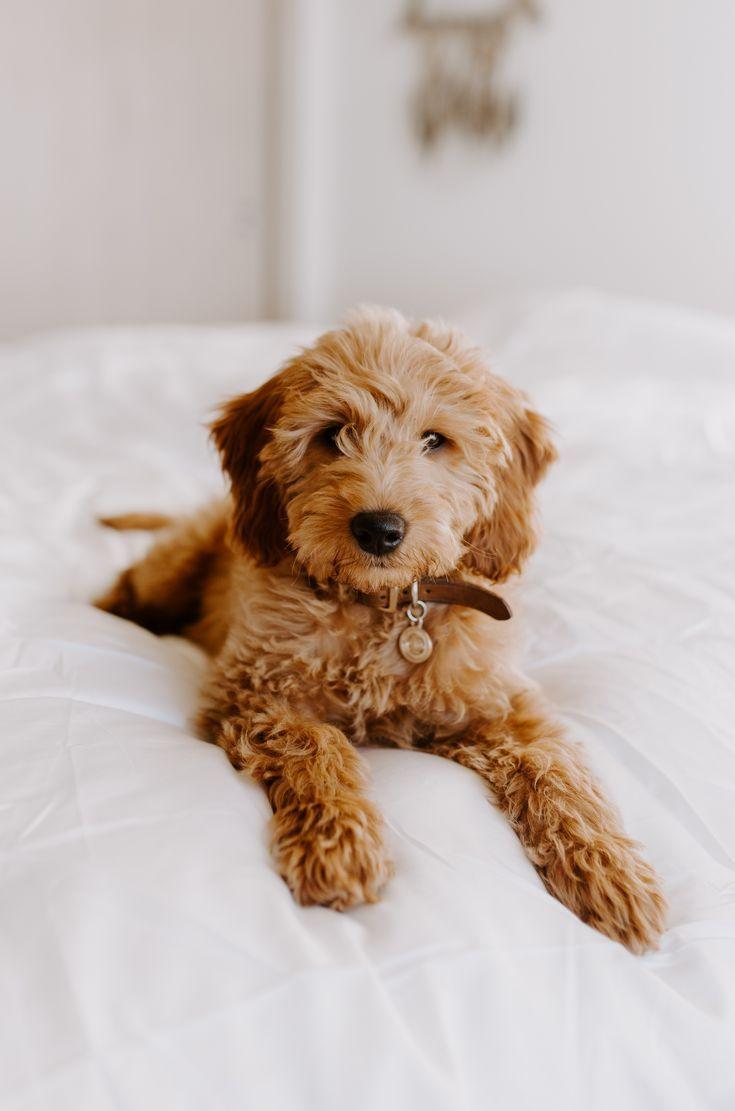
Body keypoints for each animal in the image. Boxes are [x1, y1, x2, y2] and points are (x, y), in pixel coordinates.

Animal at [97, 308, 666, 951]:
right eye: (332, 433)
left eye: (435, 439)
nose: (379, 529)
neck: (388, 609)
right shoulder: (250, 689)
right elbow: (316, 743)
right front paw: (339, 843)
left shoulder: (501, 705)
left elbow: (557, 767)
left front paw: (609, 869)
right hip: (174, 568)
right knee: (130, 586)